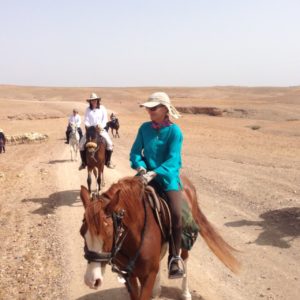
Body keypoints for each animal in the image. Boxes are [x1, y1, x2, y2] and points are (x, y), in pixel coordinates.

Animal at [80, 175, 241, 298]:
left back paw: (185, 292)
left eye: (108, 234)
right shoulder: (129, 277)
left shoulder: (148, 275)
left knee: (184, 258)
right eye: (82, 233)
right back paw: (157, 290)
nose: (91, 280)